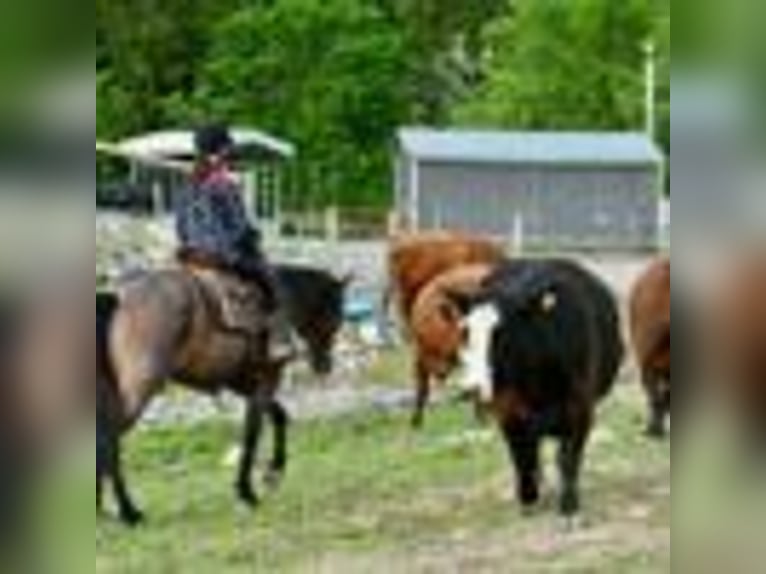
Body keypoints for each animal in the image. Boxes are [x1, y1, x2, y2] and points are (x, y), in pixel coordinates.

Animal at [97, 263, 349, 526]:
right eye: (337, 314)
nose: (325, 366)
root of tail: (119, 296)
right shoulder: (265, 382)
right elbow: (252, 434)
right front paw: (247, 491)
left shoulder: (244, 385)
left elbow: (279, 415)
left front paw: (273, 472)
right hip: (139, 391)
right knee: (109, 440)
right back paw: (127, 511)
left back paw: (104, 509)